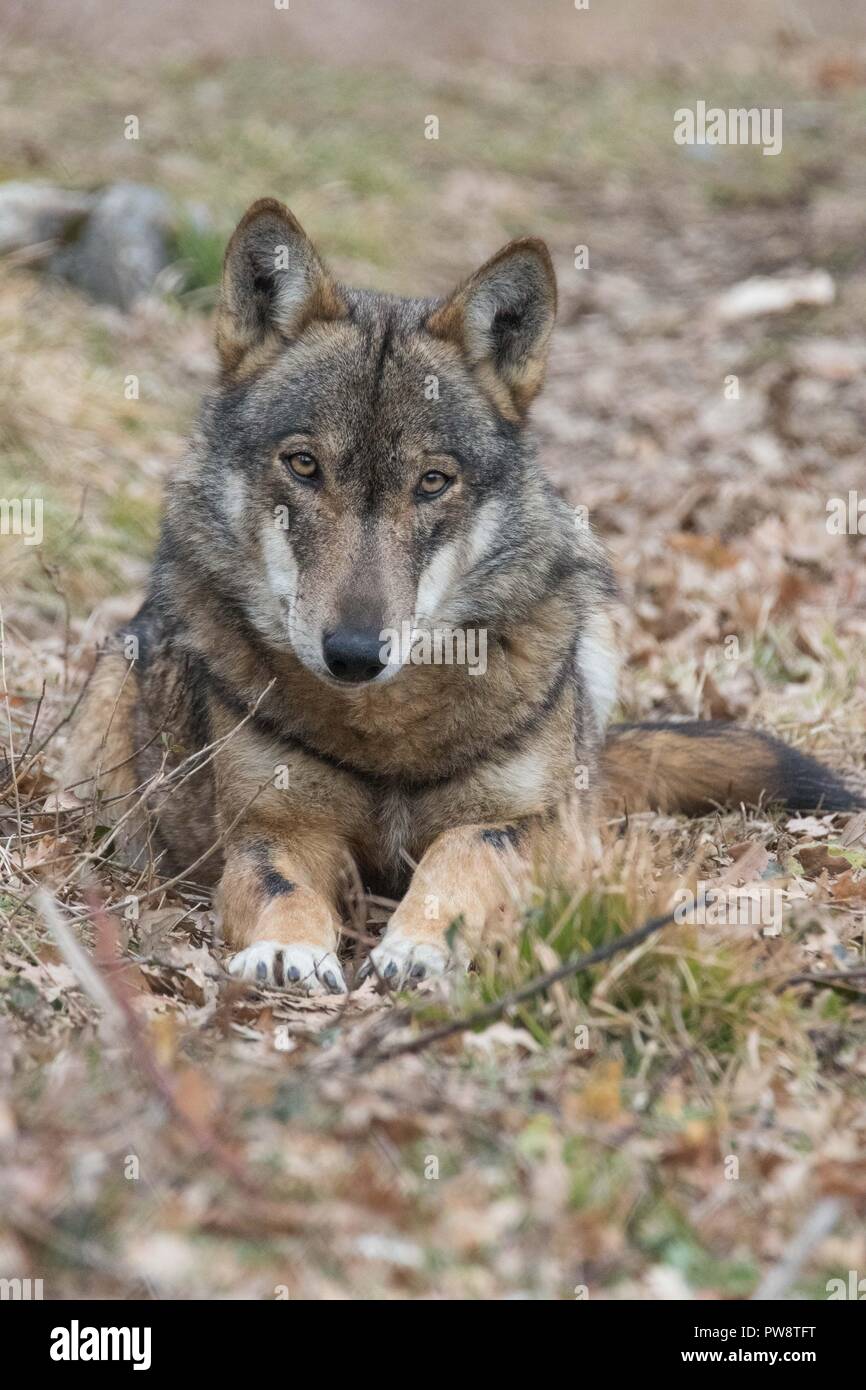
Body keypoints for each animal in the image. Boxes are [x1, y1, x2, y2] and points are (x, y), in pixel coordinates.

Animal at [59, 201, 861, 995]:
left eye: (433, 482)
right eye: (304, 465)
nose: (354, 654)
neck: (385, 729)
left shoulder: (531, 824)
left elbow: (463, 859)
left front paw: (420, 947)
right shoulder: (274, 828)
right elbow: (280, 886)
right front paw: (288, 950)